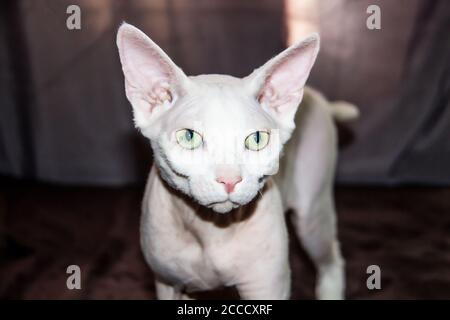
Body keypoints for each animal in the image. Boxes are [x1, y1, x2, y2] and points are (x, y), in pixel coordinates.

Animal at [116, 23, 358, 300]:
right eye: (189, 137)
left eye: (257, 139)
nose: (230, 180)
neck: (210, 230)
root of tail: (321, 99)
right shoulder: (168, 281)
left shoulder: (267, 287)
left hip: (312, 215)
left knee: (332, 258)